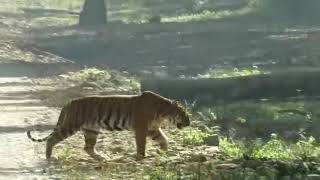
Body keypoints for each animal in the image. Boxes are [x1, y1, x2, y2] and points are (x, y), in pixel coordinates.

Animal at [27, 90, 190, 161]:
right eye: (184, 115)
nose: (189, 123)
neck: (163, 111)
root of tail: (68, 102)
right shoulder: (141, 128)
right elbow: (141, 144)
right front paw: (140, 156)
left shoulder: (152, 129)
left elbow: (164, 139)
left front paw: (163, 151)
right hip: (71, 126)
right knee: (52, 139)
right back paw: (49, 157)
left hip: (91, 130)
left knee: (88, 147)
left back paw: (102, 158)